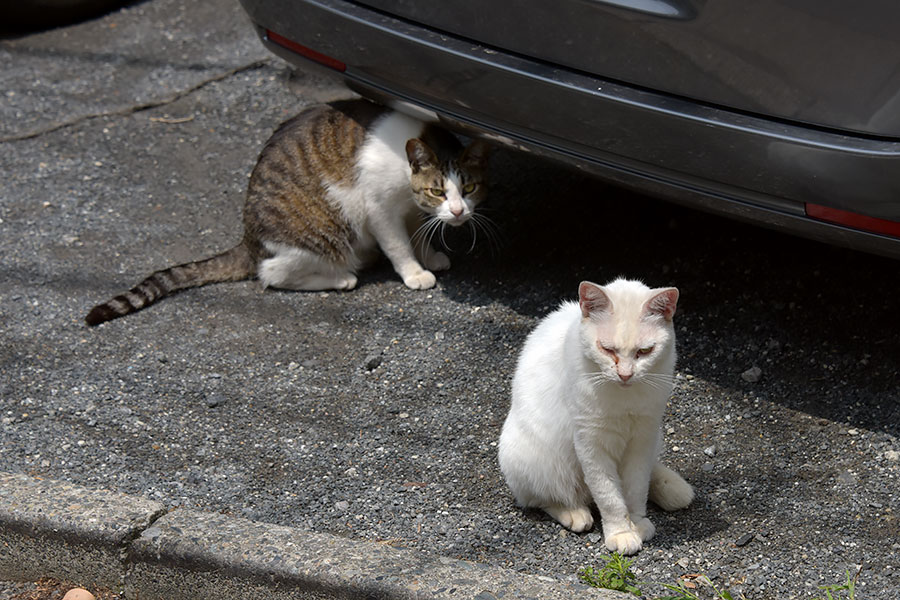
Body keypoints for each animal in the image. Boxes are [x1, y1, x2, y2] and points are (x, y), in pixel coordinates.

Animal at [88, 102, 488, 328]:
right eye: (438, 190)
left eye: (468, 188)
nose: (457, 212)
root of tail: (248, 240)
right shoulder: (379, 209)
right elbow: (399, 246)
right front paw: (414, 273)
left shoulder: (412, 210)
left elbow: (419, 233)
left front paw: (429, 256)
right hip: (322, 235)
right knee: (271, 274)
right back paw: (340, 278)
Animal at [496, 278, 692, 556]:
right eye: (607, 349)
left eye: (644, 351)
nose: (625, 375)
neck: (624, 397)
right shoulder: (591, 444)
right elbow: (609, 497)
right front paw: (622, 533)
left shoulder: (643, 439)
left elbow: (636, 488)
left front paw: (637, 523)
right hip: (534, 460)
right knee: (541, 498)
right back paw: (575, 513)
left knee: (651, 472)